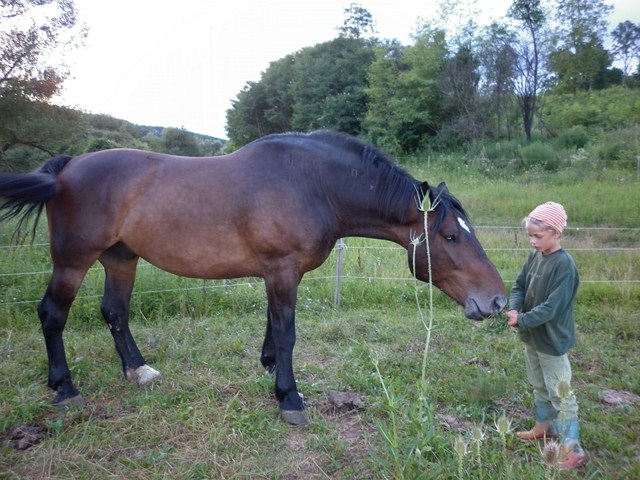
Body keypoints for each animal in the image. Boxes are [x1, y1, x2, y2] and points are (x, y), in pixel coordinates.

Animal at [2, 130, 508, 424]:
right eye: (450, 235)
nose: (498, 301)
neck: (313, 184)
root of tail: (67, 167)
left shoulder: (279, 271)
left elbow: (273, 325)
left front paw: (268, 368)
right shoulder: (281, 268)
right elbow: (287, 331)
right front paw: (289, 397)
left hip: (121, 259)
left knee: (115, 312)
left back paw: (138, 369)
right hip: (73, 261)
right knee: (52, 315)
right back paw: (65, 388)